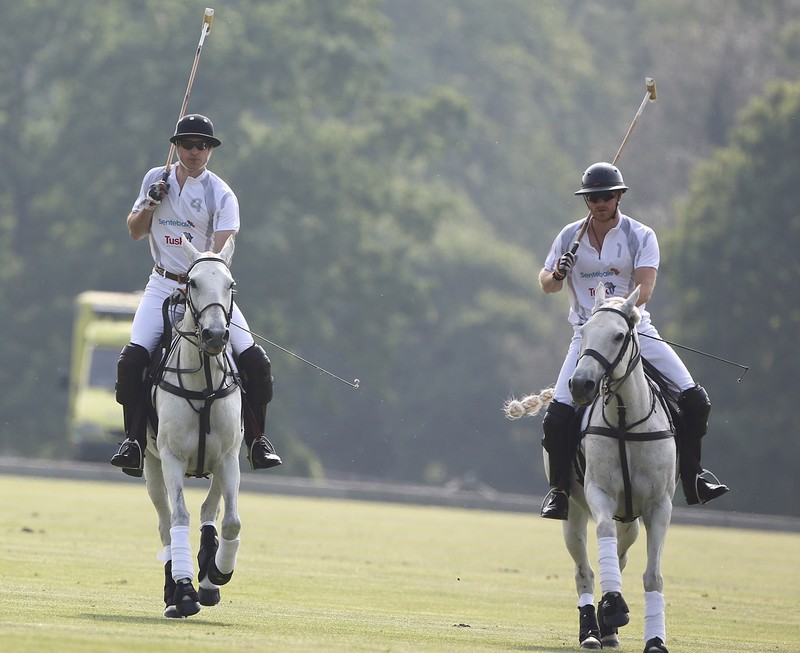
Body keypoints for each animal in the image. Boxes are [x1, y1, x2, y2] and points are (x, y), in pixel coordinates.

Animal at [144, 237, 244, 620]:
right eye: (193, 283)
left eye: (230, 285)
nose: (215, 335)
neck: (203, 382)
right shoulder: (171, 456)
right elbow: (179, 517)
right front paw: (184, 592)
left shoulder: (229, 458)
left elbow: (229, 521)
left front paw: (215, 573)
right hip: (151, 464)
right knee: (166, 523)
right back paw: (176, 590)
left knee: (210, 512)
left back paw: (208, 577)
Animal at [506, 284, 676, 652]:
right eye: (583, 332)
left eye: (619, 335)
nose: (580, 384)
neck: (626, 420)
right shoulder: (600, 494)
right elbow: (603, 538)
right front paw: (613, 606)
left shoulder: (659, 507)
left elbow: (652, 575)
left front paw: (655, 639)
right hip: (574, 511)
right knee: (585, 569)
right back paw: (592, 631)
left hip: (631, 518)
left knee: (622, 556)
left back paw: (608, 628)